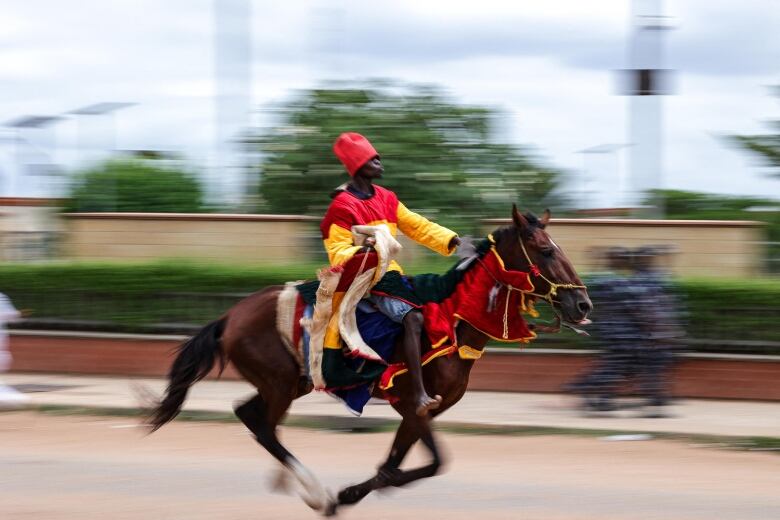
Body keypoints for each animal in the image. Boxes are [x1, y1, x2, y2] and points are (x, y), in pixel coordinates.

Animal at [146, 205, 592, 512]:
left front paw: (359, 489)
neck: (454, 320)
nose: (583, 304)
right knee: (263, 427)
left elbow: (398, 465)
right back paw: (315, 492)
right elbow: (433, 462)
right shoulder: (414, 404)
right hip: (280, 383)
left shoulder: (422, 413)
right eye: (544, 250)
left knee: (251, 416)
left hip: (291, 383)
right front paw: (345, 494)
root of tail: (230, 317)